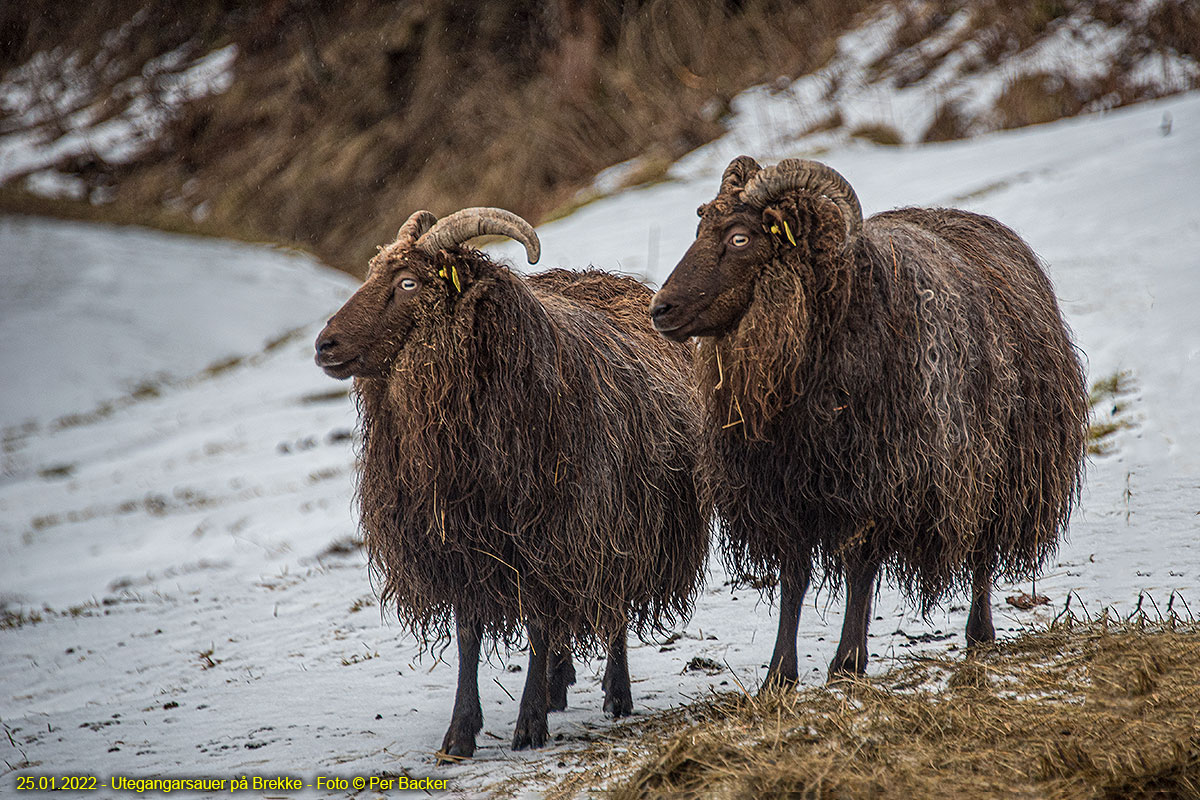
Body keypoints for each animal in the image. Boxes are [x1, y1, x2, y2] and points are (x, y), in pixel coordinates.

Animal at [314, 206, 705, 758]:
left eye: (409, 282)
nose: (324, 345)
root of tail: (613, 280)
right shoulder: (459, 545)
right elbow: (468, 635)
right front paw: (460, 733)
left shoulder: (551, 534)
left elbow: (538, 626)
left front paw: (529, 725)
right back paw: (559, 684)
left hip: (622, 526)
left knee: (613, 608)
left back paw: (616, 693)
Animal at [652, 158, 1094, 690]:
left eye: (740, 237)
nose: (659, 309)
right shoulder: (783, 492)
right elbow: (794, 578)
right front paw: (780, 674)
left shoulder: (878, 479)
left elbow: (860, 568)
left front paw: (846, 663)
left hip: (997, 467)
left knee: (981, 550)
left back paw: (979, 633)